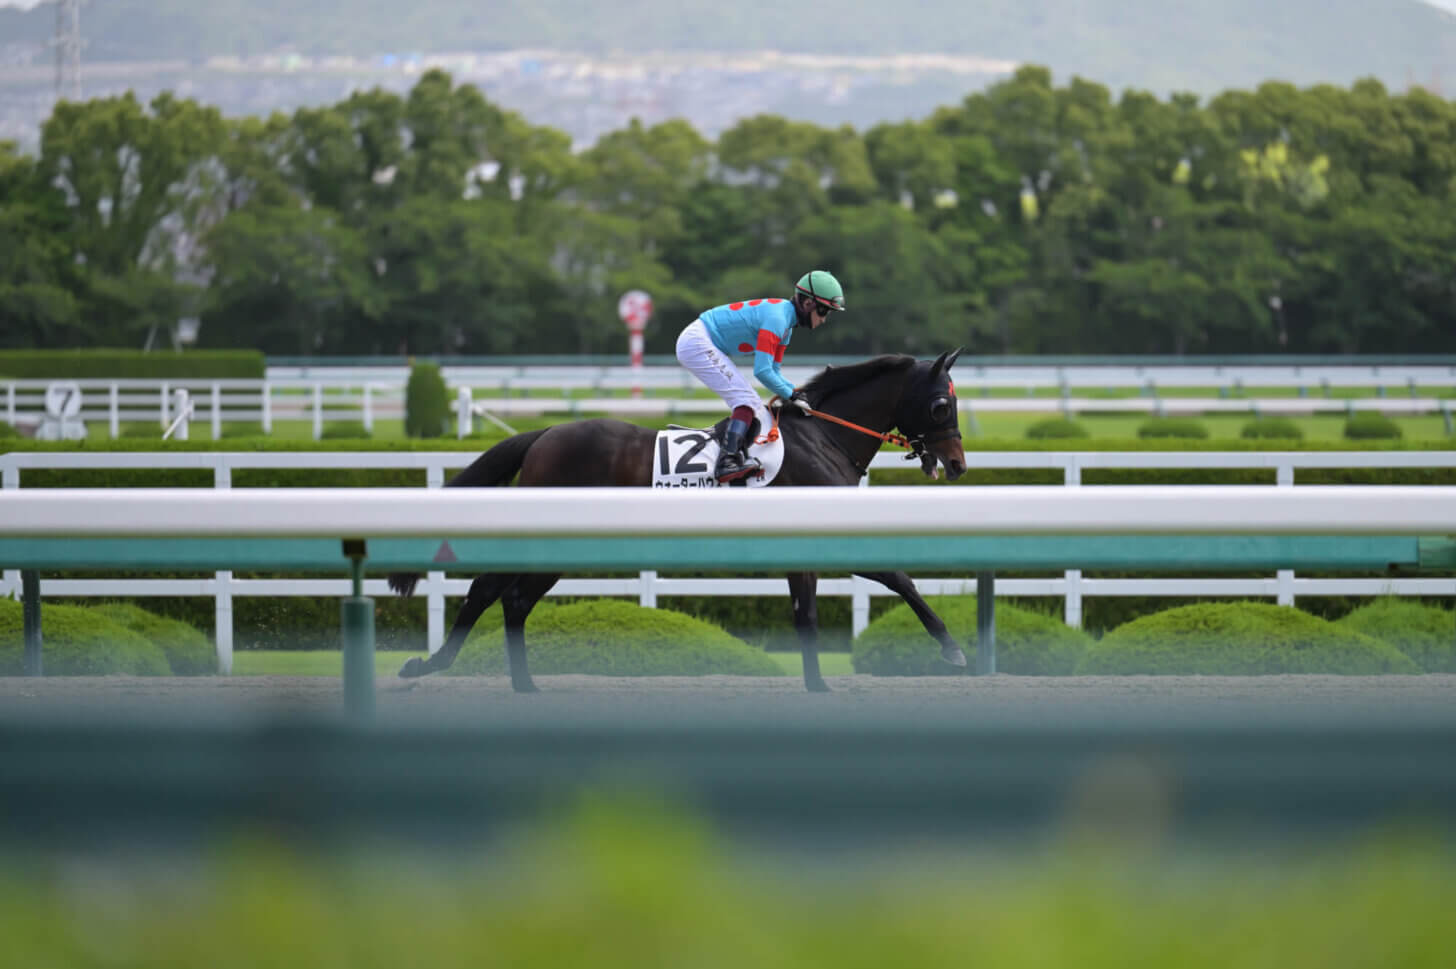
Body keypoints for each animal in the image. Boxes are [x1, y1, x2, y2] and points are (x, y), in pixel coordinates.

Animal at [393, 350, 972, 689]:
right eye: (941, 406)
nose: (957, 463)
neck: (823, 437)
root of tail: (545, 434)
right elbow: (893, 579)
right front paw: (952, 648)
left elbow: (813, 611)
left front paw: (817, 684)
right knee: (488, 589)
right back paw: (431, 665)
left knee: (512, 598)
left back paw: (523, 684)